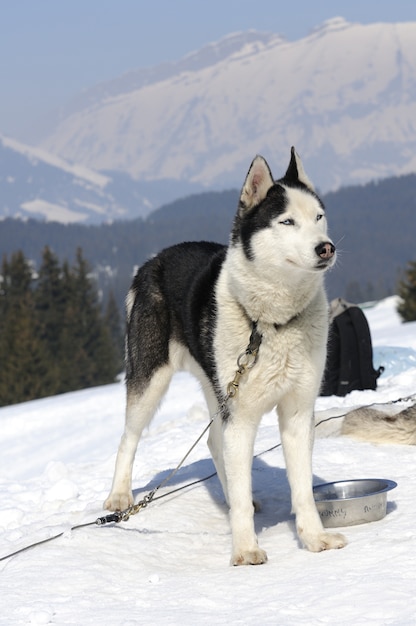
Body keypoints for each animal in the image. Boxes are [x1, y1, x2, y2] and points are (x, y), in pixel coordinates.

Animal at [105, 149, 346, 564]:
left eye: (318, 216)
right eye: (286, 221)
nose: (325, 247)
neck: (270, 322)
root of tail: (152, 261)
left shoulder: (297, 413)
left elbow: (302, 490)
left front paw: (314, 539)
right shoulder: (242, 417)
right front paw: (246, 549)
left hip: (217, 386)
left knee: (215, 445)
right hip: (151, 382)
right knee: (128, 438)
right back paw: (119, 496)